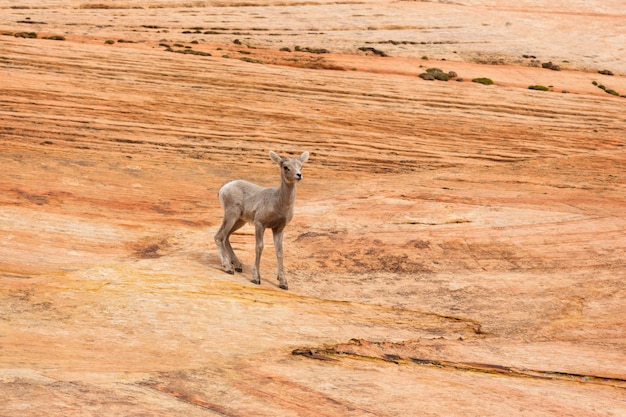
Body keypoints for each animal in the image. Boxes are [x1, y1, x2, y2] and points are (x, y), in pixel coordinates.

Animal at [214, 150, 310, 290]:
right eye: (285, 167)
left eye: (301, 166)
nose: (299, 175)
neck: (278, 203)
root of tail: (223, 188)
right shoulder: (260, 224)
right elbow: (259, 247)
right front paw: (256, 278)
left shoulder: (278, 229)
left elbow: (279, 252)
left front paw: (283, 283)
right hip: (231, 215)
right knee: (219, 236)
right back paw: (228, 268)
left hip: (240, 220)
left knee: (226, 237)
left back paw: (237, 266)